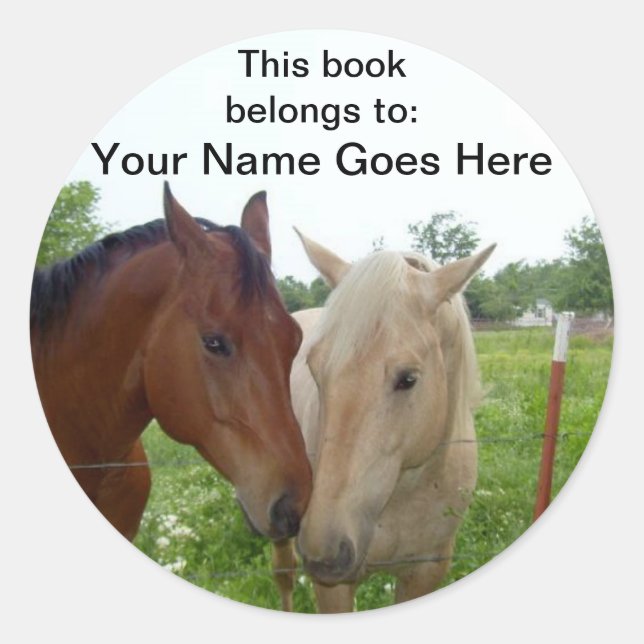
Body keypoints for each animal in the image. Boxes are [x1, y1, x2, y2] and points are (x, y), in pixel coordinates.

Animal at [272, 231, 494, 612]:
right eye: (315, 369)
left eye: (409, 378)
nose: (323, 550)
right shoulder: (334, 589)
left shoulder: (426, 572)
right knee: (283, 573)